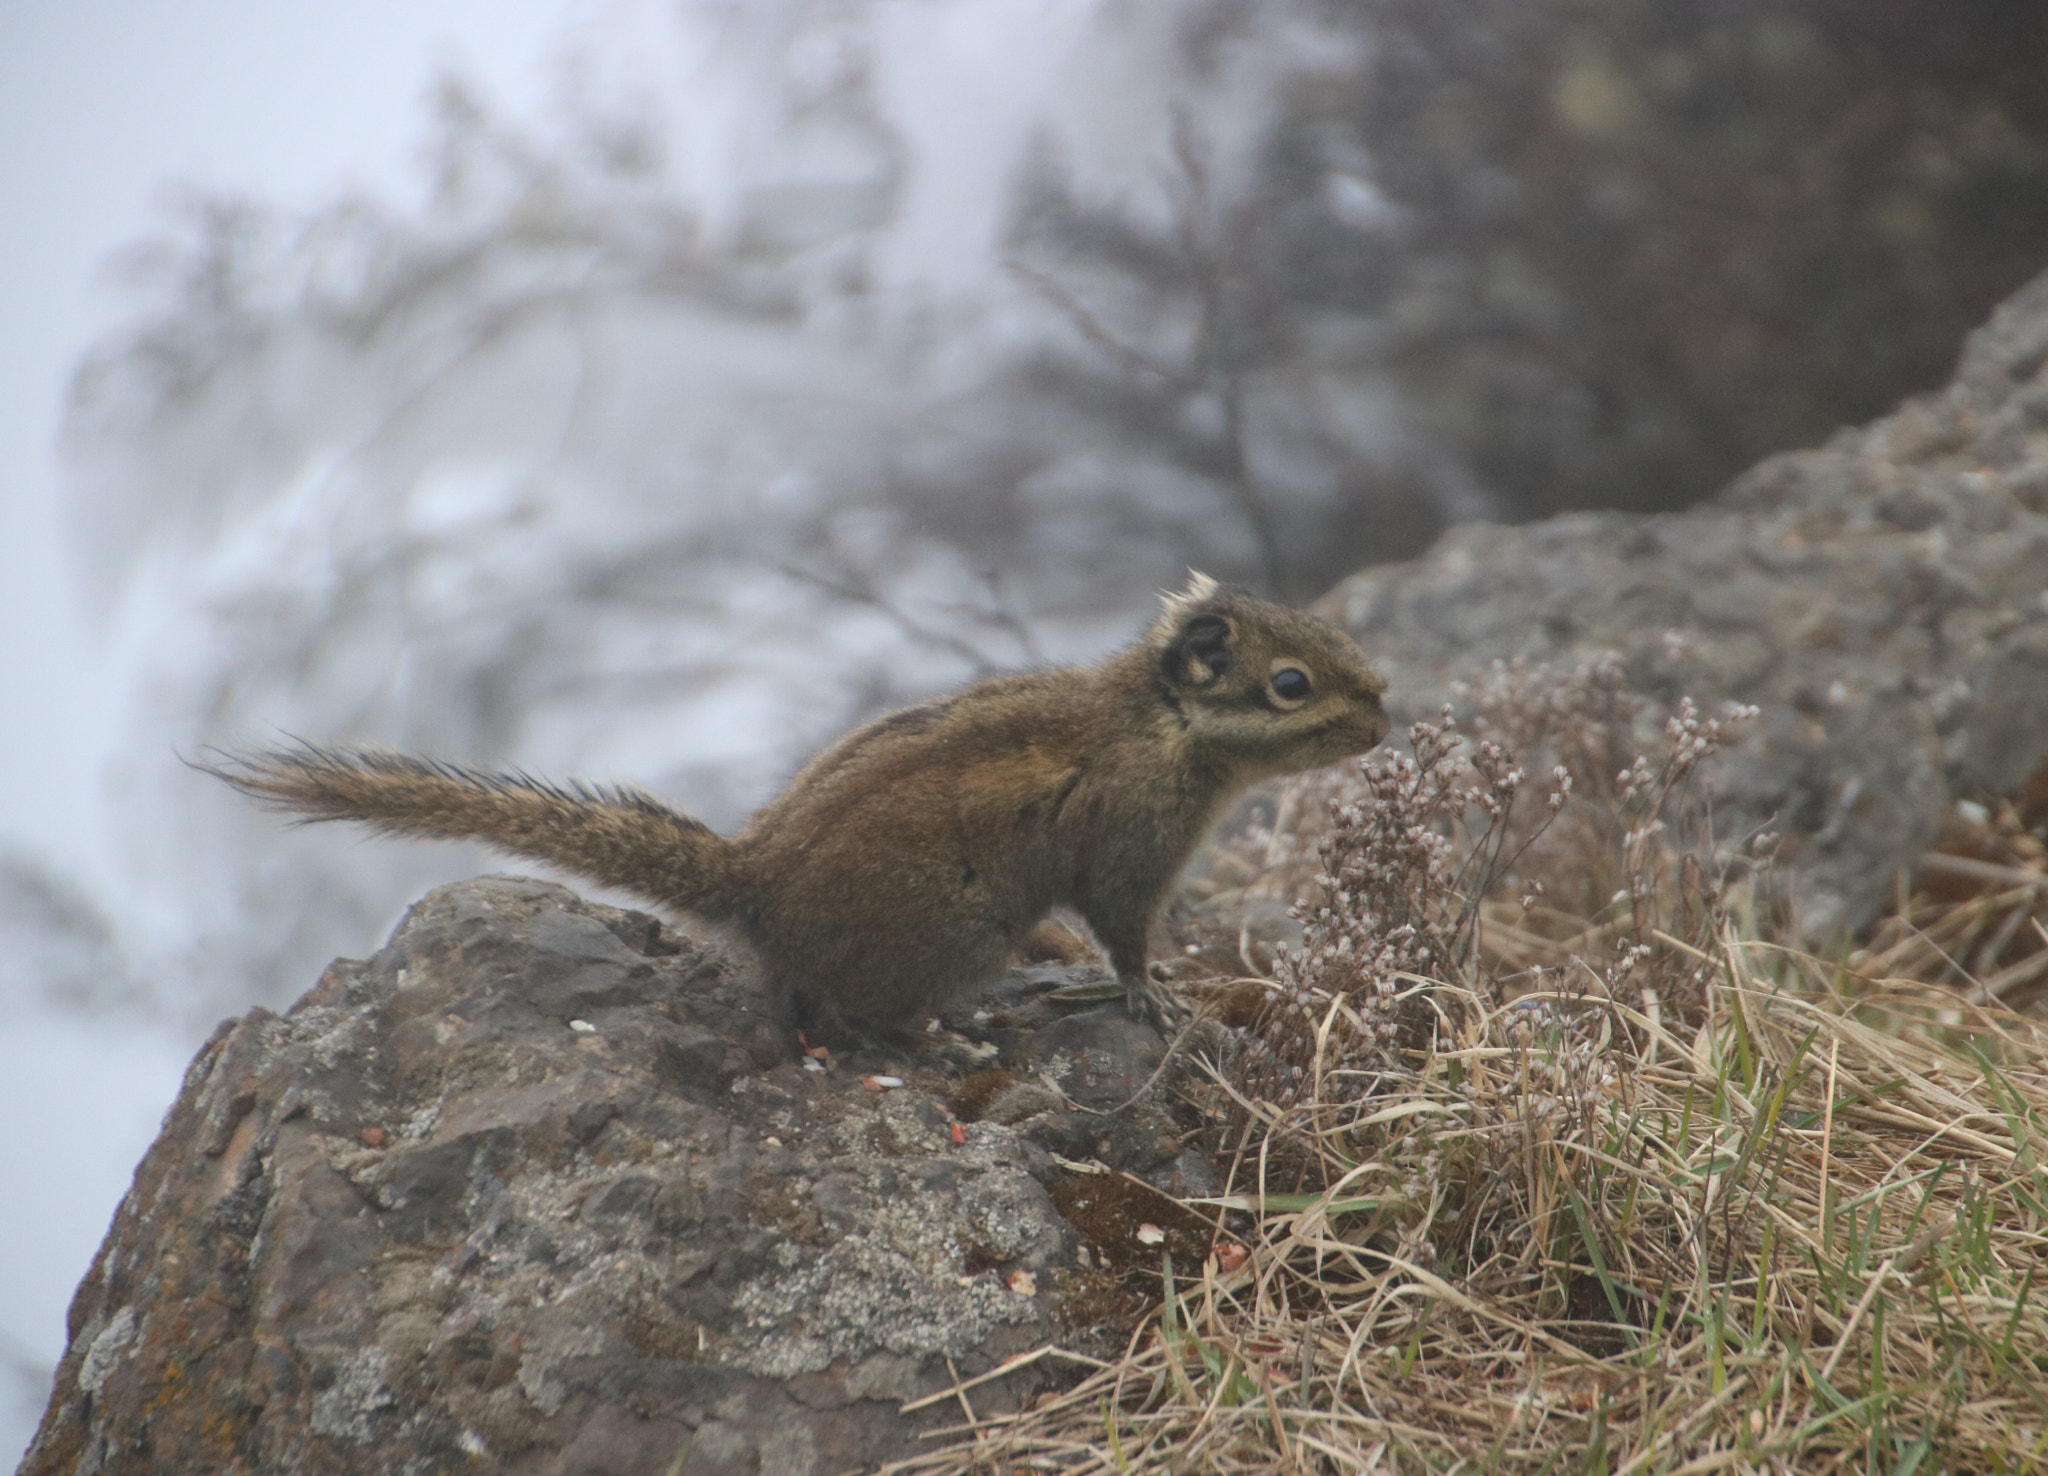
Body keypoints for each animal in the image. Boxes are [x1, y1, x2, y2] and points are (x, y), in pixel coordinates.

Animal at [207, 569, 1392, 1031]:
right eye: (1291, 684)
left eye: (1321, 631)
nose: (1384, 715)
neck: (1160, 723)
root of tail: (758, 879)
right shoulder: (1130, 850)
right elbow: (1126, 934)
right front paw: (1150, 999)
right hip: (958, 934)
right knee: (857, 1018)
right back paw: (951, 1033)